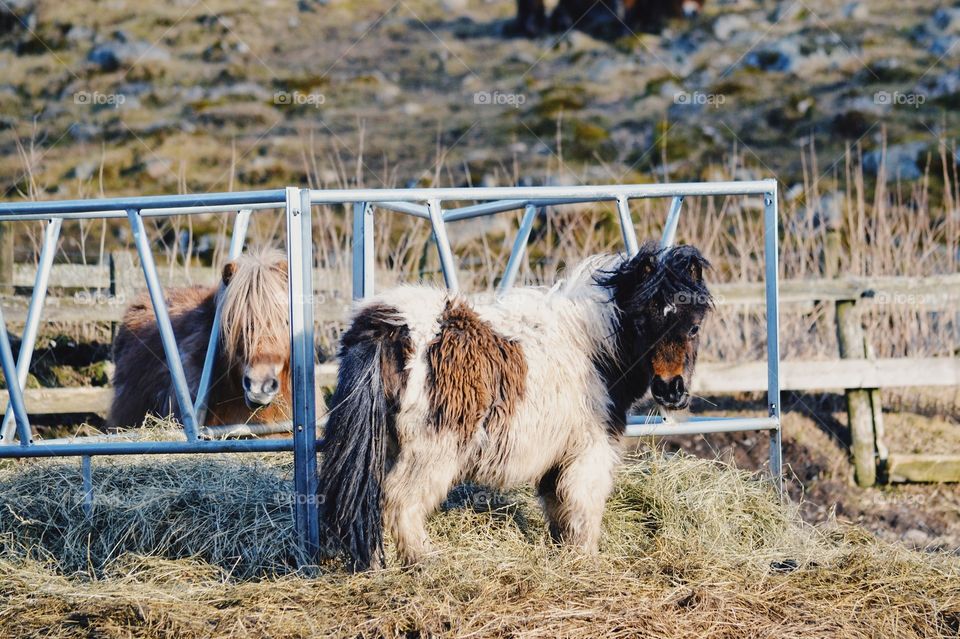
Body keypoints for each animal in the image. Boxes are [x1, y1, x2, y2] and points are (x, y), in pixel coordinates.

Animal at [316, 241, 712, 568]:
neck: (591, 347)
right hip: (432, 452)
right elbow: (584, 507)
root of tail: (392, 326)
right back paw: (424, 559)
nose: (671, 389)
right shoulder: (588, 450)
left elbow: (559, 507)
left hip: (384, 446)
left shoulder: (559, 456)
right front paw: (586, 560)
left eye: (694, 327)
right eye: (643, 321)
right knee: (398, 501)